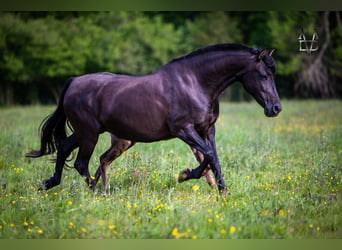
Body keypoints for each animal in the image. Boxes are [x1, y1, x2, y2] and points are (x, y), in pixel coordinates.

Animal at [27, 43, 280, 193]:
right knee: (81, 163)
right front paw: (185, 175)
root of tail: (73, 82)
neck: (195, 83)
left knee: (64, 148)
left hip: (86, 133)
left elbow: (214, 158)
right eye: (263, 75)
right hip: (89, 133)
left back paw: (50, 184)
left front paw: (223, 192)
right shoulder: (183, 130)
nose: (276, 108)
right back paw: (97, 192)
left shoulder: (207, 129)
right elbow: (208, 156)